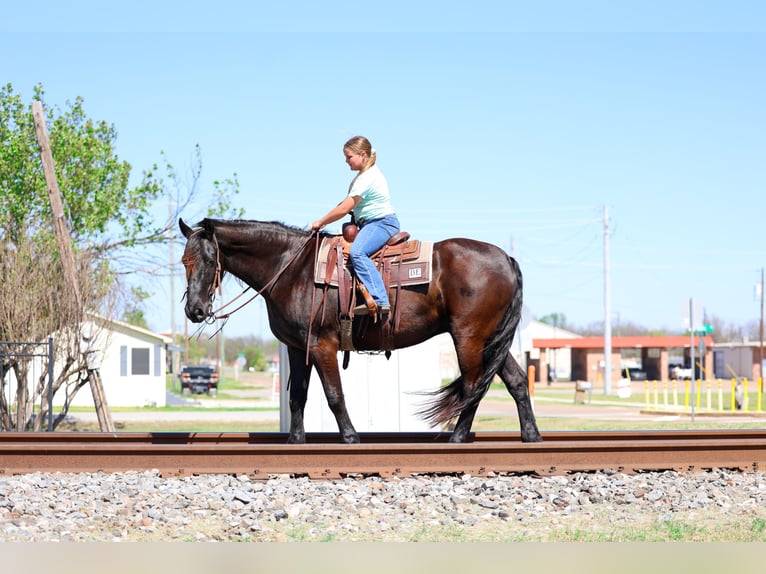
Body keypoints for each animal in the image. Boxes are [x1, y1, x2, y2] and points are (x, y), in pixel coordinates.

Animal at [179, 217, 541, 445]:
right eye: (185, 261)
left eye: (209, 261)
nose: (194, 310)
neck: (292, 269)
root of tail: (506, 258)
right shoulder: (298, 347)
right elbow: (298, 397)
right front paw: (295, 441)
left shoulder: (321, 344)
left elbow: (334, 395)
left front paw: (351, 437)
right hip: (492, 339)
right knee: (515, 381)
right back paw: (532, 435)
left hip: (469, 336)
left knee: (474, 384)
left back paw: (457, 437)